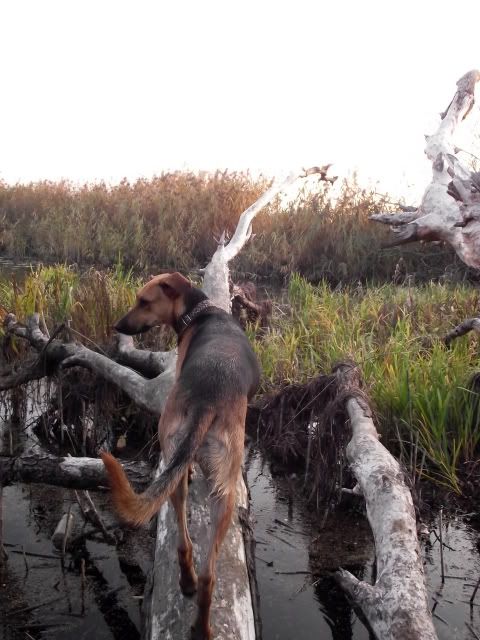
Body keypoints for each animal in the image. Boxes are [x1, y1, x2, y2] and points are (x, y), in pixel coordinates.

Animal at [101, 272, 260, 640]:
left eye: (143, 301)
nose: (118, 326)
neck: (201, 313)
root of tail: (206, 400)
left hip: (185, 465)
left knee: (192, 555)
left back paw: (192, 598)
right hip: (224, 488)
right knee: (204, 566)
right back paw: (199, 618)